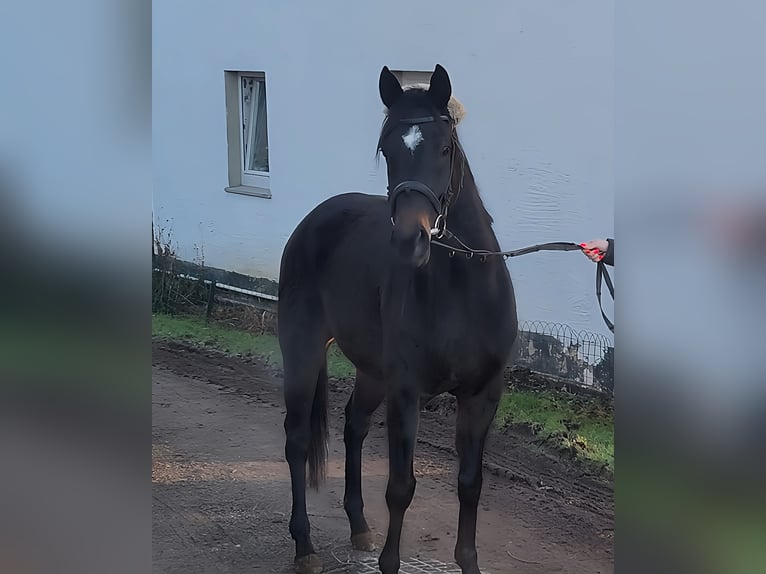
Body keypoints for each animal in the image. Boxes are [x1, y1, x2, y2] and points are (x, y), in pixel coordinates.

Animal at [280, 64, 520, 574]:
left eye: (445, 148)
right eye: (387, 149)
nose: (411, 240)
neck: (460, 291)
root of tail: (314, 220)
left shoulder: (482, 396)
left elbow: (470, 485)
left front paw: (468, 563)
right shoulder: (406, 393)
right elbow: (400, 488)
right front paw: (389, 562)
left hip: (372, 373)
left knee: (353, 425)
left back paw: (358, 526)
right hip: (303, 350)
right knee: (297, 441)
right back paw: (304, 545)